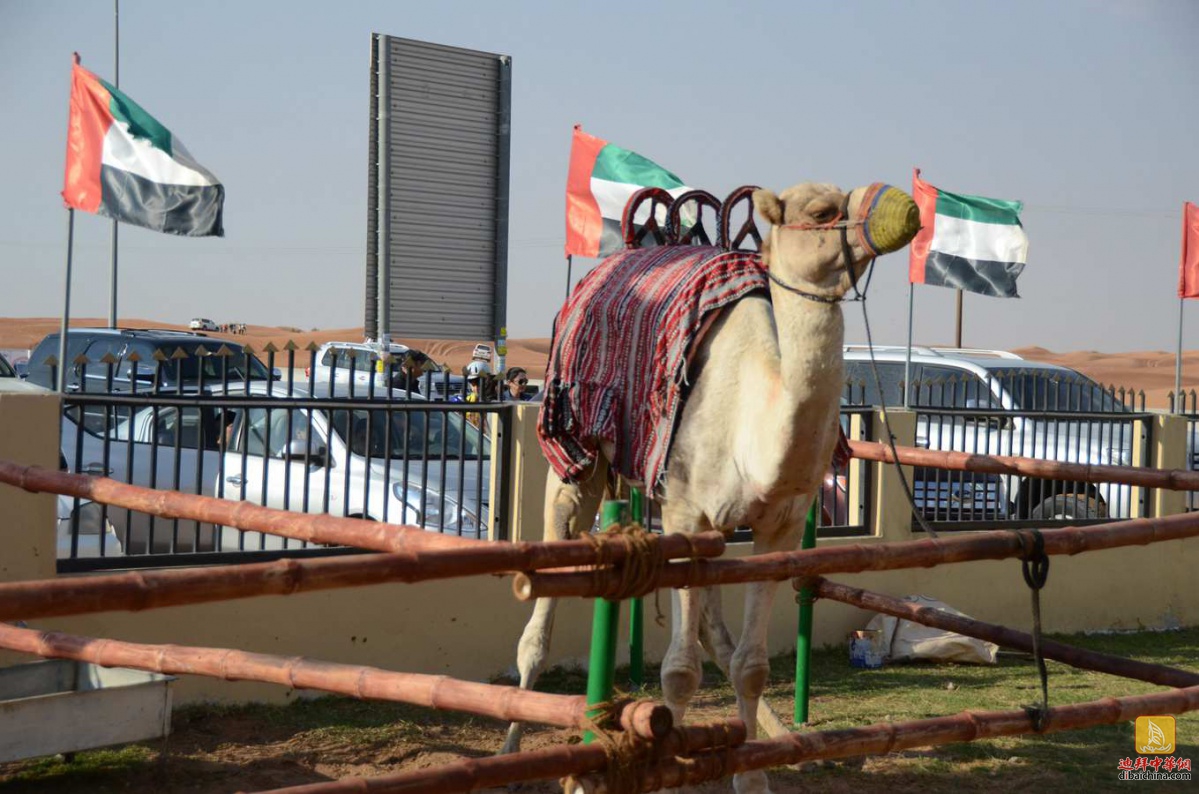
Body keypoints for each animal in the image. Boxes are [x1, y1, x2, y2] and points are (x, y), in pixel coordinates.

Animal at [503, 182, 916, 794]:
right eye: (822, 212)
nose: (902, 209)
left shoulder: (777, 529)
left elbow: (750, 664)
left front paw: (752, 776)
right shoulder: (683, 514)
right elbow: (678, 671)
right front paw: (661, 767)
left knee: (715, 634)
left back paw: (785, 742)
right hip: (575, 460)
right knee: (542, 616)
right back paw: (514, 751)